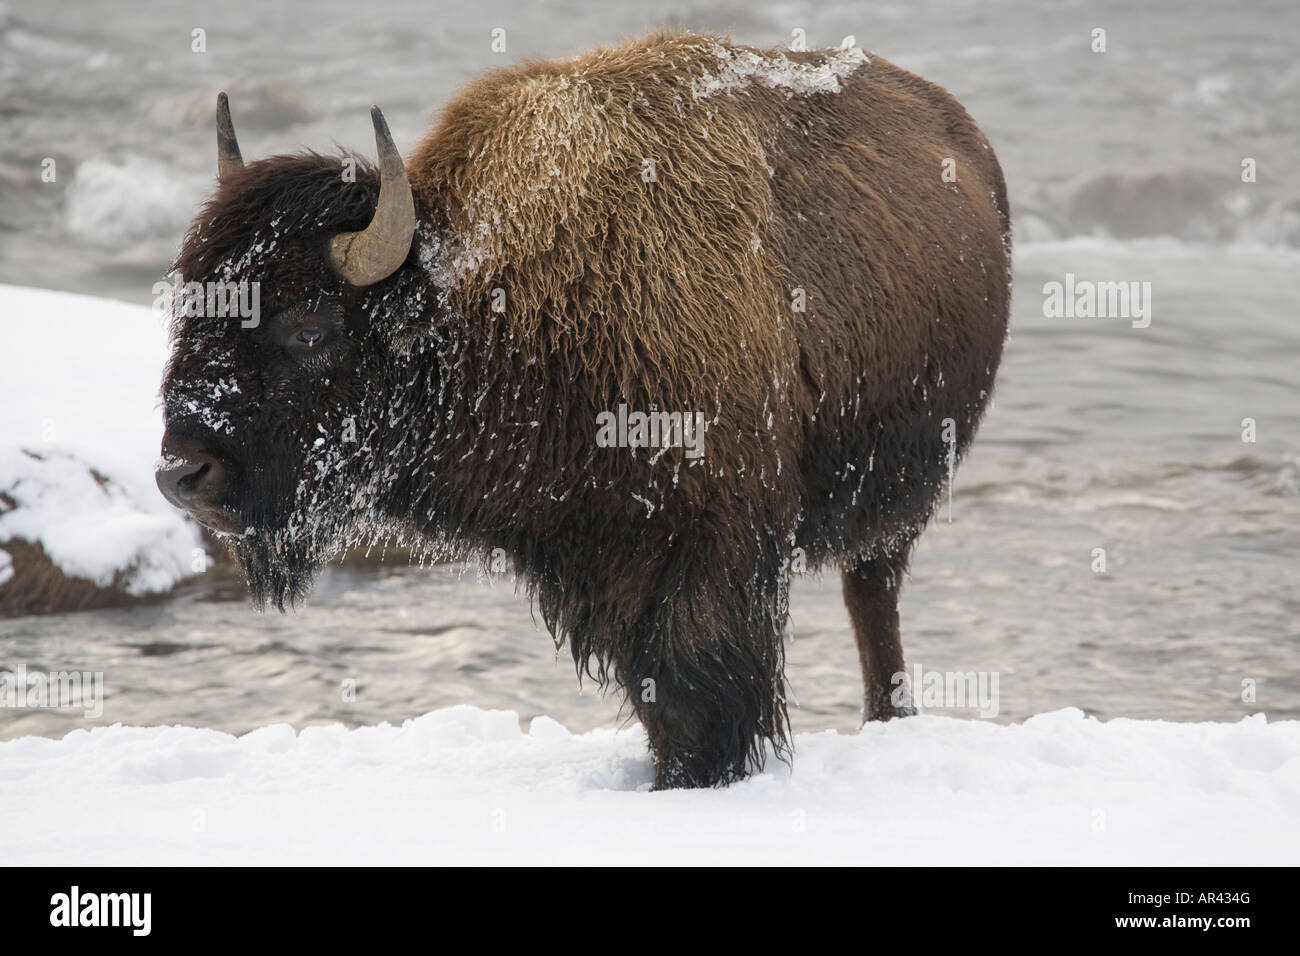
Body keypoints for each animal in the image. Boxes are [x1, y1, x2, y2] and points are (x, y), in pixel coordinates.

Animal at [157, 31, 1013, 790]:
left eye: (310, 327)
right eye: (188, 308)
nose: (183, 472)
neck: (488, 297)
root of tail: (962, 134)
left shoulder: (711, 550)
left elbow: (701, 691)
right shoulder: (601, 560)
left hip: (900, 502)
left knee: (874, 602)